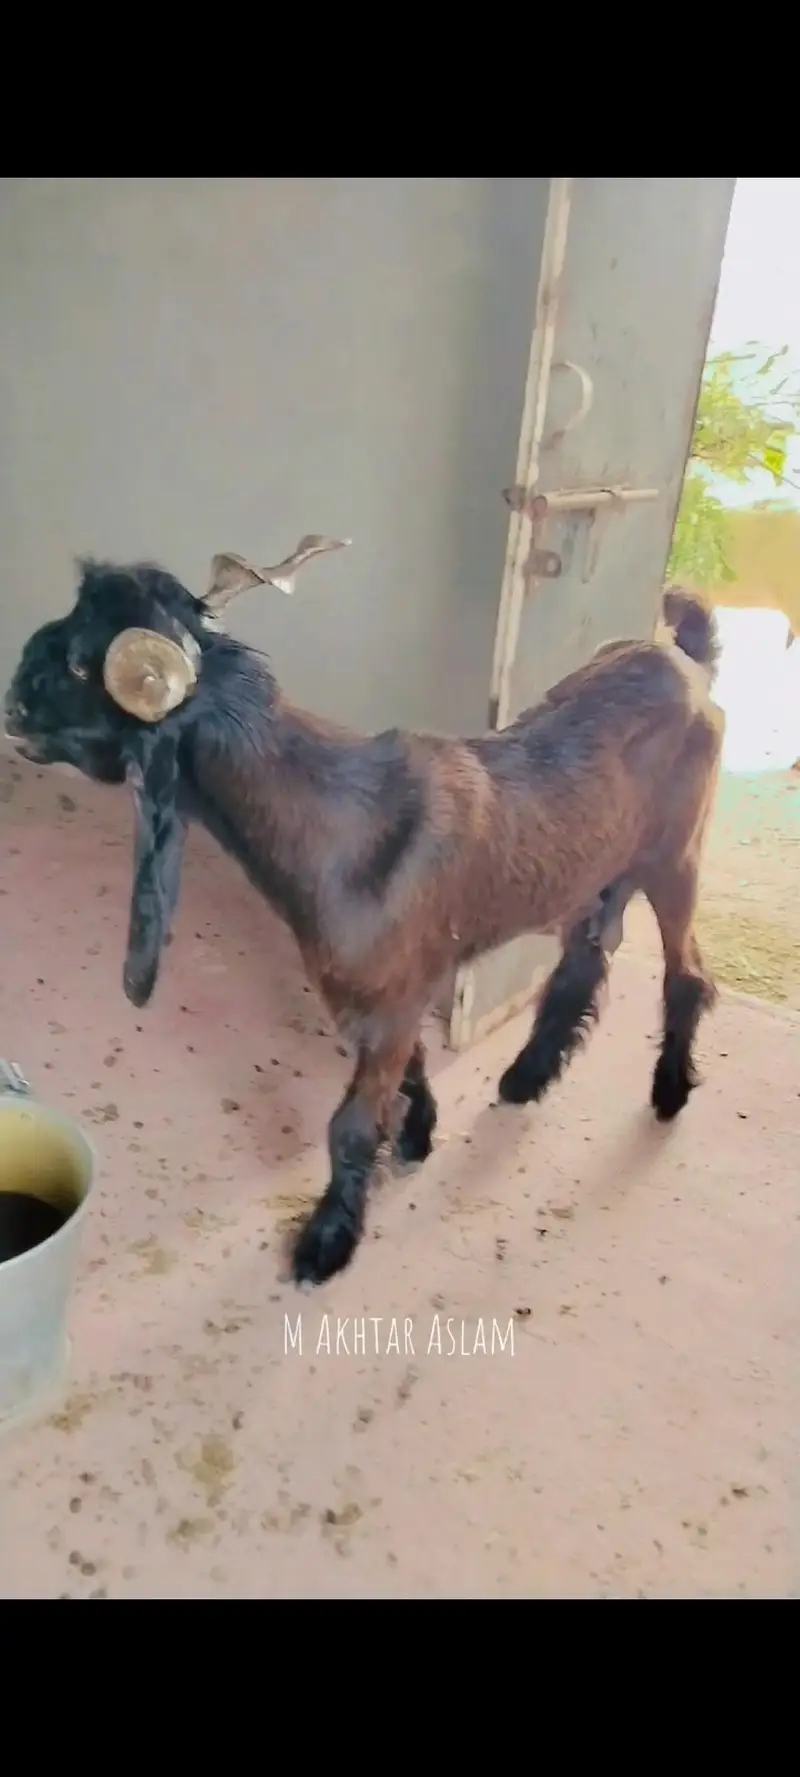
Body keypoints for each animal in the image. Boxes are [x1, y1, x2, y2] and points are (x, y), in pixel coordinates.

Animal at [4, 542, 725, 1287]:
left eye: (82, 664)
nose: (14, 701)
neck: (334, 821)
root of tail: (687, 664)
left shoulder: (391, 999)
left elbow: (349, 1123)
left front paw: (326, 1242)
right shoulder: (381, 996)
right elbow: (408, 1069)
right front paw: (416, 1135)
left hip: (677, 856)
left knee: (688, 973)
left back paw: (669, 1092)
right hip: (597, 874)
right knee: (585, 957)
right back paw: (526, 1076)